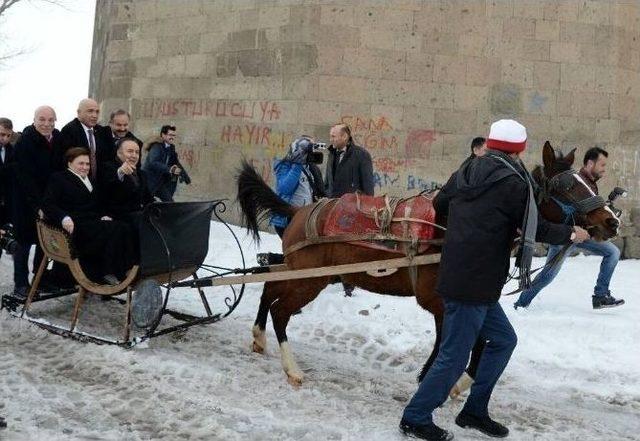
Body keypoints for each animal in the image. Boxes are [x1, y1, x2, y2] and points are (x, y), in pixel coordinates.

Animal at [238, 142, 616, 384]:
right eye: (568, 186)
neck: (448, 229)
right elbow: (457, 343)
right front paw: (446, 380)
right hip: (310, 279)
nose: (612, 221)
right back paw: (292, 368)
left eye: (591, 181)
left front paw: (449, 380)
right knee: (281, 310)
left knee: (268, 288)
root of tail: (298, 211)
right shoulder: (440, 301)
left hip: (303, 272)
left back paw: (258, 337)